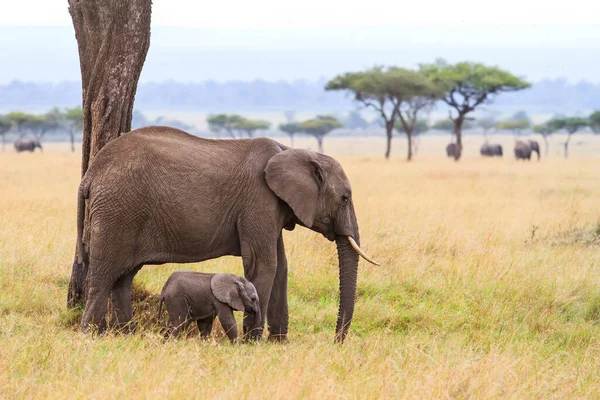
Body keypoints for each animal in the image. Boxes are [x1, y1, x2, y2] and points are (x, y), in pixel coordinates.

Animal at [68, 126, 378, 344]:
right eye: (345, 199)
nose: (337, 341)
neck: (291, 150)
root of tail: (90, 175)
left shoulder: (271, 208)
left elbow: (281, 267)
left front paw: (278, 343)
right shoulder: (258, 200)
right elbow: (265, 265)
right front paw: (252, 342)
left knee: (123, 277)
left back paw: (126, 335)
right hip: (117, 213)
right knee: (104, 277)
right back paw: (92, 336)